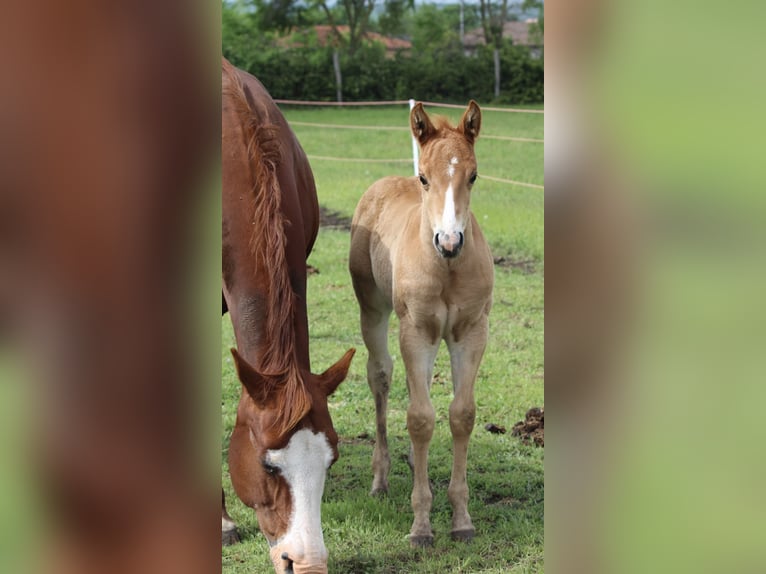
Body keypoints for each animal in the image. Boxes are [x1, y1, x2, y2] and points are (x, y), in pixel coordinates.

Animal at [349, 101, 494, 546]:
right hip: (374, 310)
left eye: (473, 175)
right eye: (425, 178)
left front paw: (461, 520)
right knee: (380, 376)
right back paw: (380, 479)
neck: (446, 269)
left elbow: (460, 415)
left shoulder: (471, 332)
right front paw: (421, 526)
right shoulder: (414, 332)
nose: (449, 242)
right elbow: (419, 419)